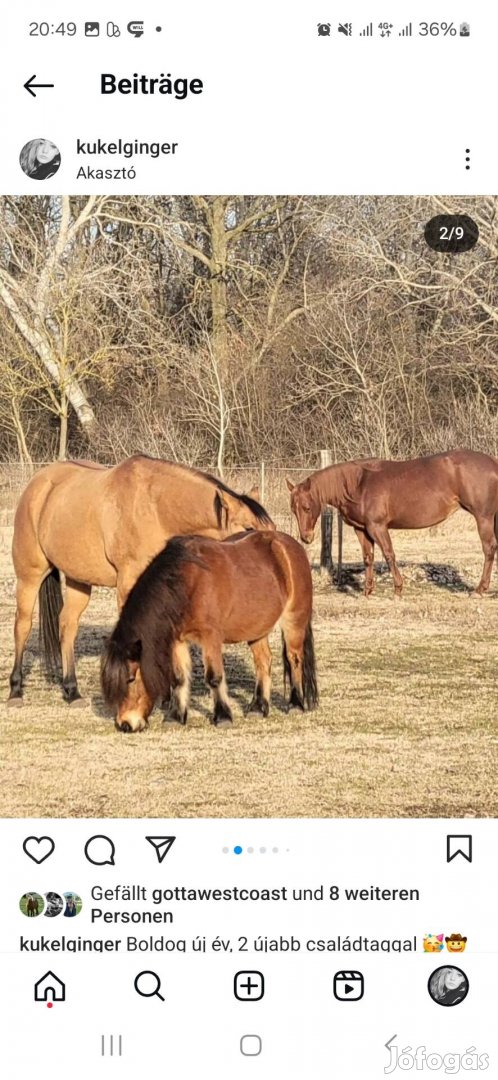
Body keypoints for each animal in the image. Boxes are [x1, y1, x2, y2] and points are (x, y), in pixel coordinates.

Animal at [7, 457, 272, 708]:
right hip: (29, 575)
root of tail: (39, 483)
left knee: (67, 625)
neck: (156, 511)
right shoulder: (128, 582)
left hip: (78, 580)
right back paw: (15, 691)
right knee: (22, 626)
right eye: (248, 527)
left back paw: (72, 691)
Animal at [101, 531, 317, 734]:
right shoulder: (178, 640)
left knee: (294, 658)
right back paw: (258, 707)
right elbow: (178, 677)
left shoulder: (210, 638)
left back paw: (296, 704)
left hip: (293, 621)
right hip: (257, 629)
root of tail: (290, 545)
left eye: (131, 678)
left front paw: (223, 716)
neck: (187, 582)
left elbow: (214, 677)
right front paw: (175, 717)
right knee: (263, 661)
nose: (125, 724)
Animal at [287, 449, 498, 600]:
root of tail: (493, 463)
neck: (359, 484)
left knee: (489, 548)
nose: (306, 537)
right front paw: (367, 591)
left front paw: (397, 590)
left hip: (483, 518)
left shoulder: (377, 527)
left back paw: (479, 590)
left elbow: (389, 554)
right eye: (293, 510)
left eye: (306, 507)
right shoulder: (361, 529)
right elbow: (368, 558)